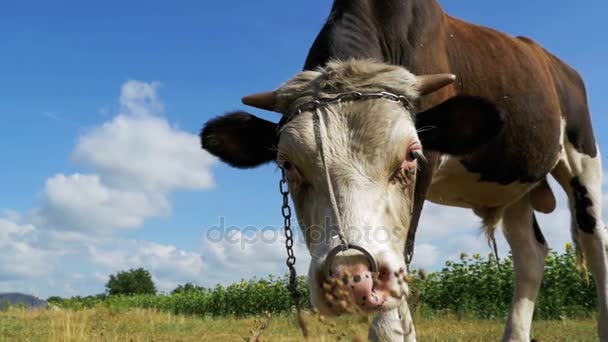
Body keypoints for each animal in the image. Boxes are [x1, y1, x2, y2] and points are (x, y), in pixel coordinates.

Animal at [198, 1, 604, 340]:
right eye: (287, 164)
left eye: (411, 155)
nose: (351, 278)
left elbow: (390, 319)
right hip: (512, 186)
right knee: (530, 254)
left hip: (583, 159)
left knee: (596, 244)